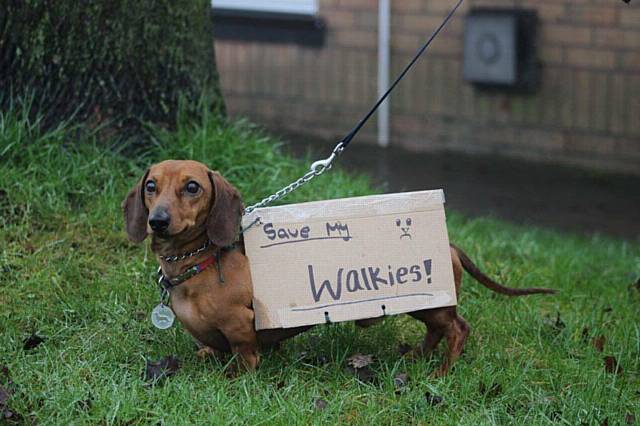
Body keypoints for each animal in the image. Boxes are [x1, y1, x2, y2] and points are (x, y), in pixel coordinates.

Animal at [121, 160, 556, 376]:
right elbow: (209, 346)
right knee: (437, 332)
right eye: (151, 186)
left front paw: (236, 378)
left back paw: (442, 373)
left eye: (192, 187)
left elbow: (245, 355)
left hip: (430, 301)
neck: (198, 261)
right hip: (426, 306)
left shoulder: (242, 326)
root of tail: (448, 243)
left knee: (458, 329)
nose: (157, 221)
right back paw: (417, 358)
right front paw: (205, 357)